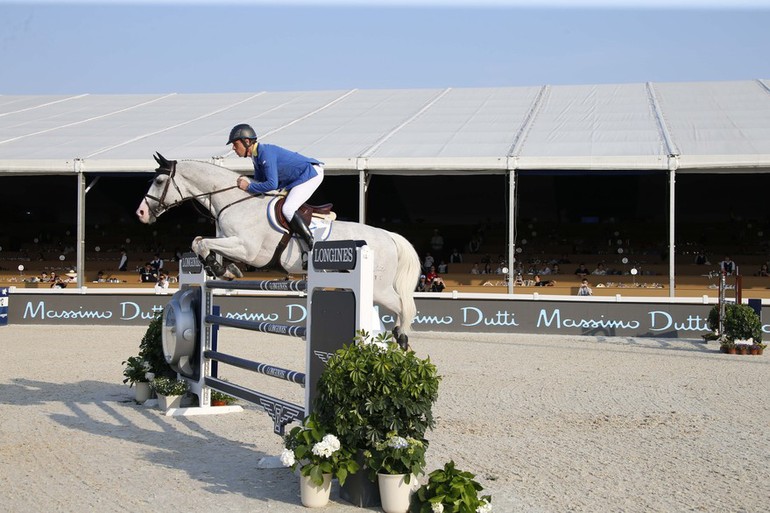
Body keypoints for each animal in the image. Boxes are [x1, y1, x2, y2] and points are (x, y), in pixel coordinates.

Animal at [135, 152, 416, 344]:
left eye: (159, 181)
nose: (141, 213)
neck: (235, 202)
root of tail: (388, 236)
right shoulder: (229, 242)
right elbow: (200, 243)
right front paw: (227, 270)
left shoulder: (246, 249)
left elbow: (202, 242)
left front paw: (219, 268)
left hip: (378, 288)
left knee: (403, 305)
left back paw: (402, 336)